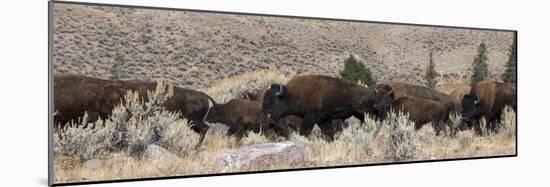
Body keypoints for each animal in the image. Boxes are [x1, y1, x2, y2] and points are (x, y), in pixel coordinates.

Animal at [53, 74, 218, 148]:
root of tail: (203, 95)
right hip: (192, 122)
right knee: (205, 128)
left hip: (193, 121)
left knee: (205, 128)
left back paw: (196, 147)